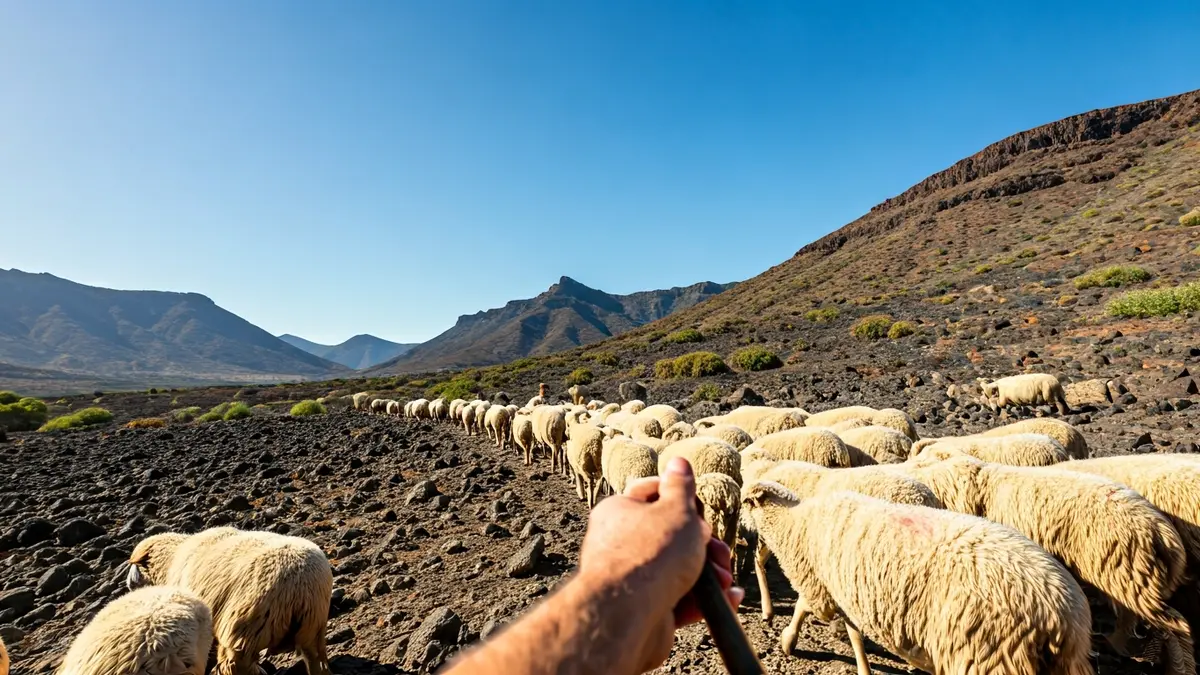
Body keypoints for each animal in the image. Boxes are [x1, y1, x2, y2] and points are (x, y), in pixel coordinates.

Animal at [127, 527, 333, 675]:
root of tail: (300, 589)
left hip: (246, 625)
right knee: (316, 660)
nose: (128, 584)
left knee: (237, 664)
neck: (171, 560)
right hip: (313, 625)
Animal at [742, 484, 1092, 675]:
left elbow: (803, 607)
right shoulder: (846, 590)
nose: (741, 527)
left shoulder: (819, 583)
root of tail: (1061, 616)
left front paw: (787, 640)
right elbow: (854, 634)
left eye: (745, 500)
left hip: (988, 655)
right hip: (1057, 664)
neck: (793, 521)